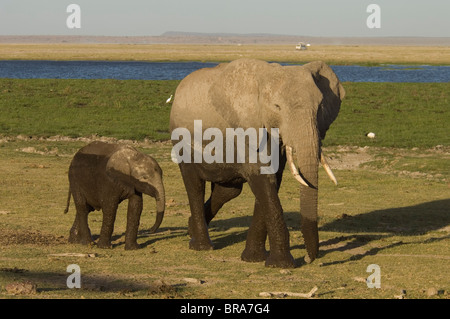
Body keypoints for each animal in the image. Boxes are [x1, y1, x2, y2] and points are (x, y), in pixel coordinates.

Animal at [169, 58, 344, 268]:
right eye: (277, 107)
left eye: (320, 108)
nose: (309, 259)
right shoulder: (245, 128)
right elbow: (262, 179)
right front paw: (281, 265)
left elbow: (273, 180)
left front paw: (254, 259)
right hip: (181, 139)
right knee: (194, 184)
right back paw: (201, 246)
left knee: (228, 191)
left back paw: (190, 228)